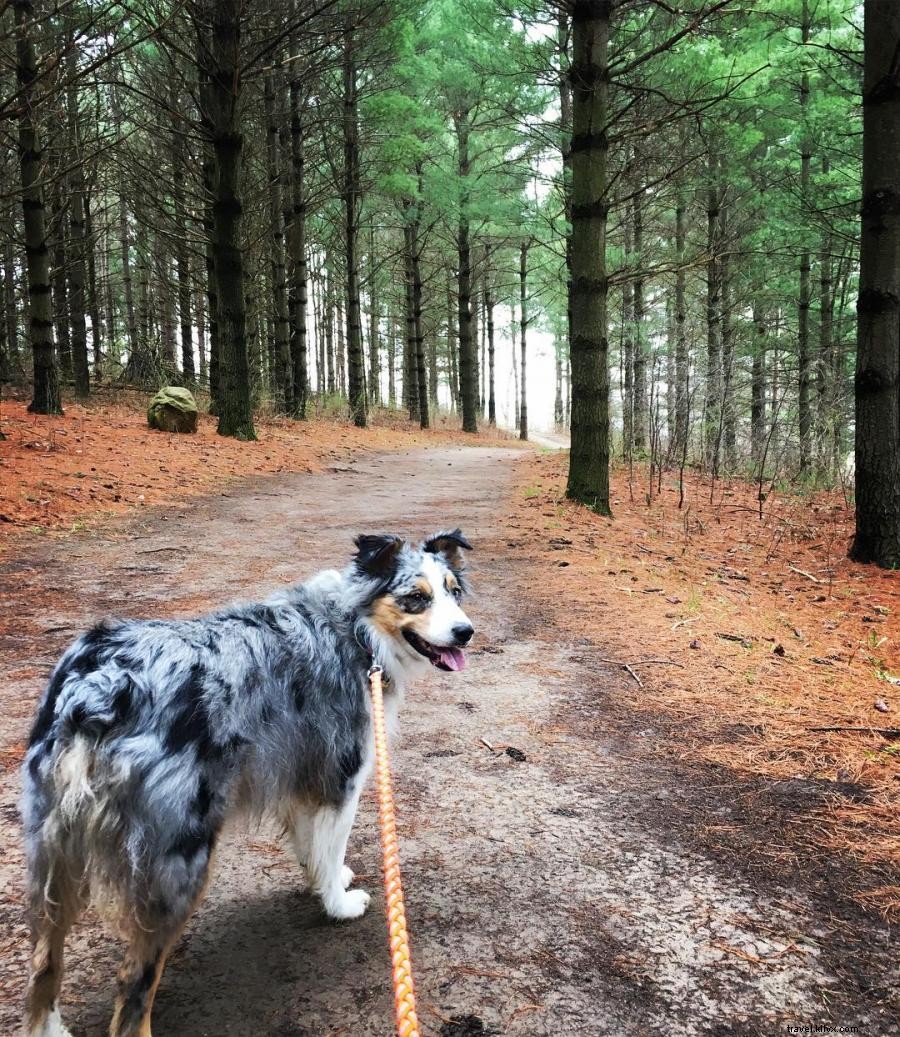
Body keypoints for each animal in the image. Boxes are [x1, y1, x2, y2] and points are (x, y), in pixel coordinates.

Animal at [21, 530, 474, 1037]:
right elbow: (332, 843)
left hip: (53, 854)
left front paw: (324, 879)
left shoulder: (300, 775)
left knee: (44, 965)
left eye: (454, 592)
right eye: (417, 597)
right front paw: (338, 904)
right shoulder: (342, 775)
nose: (466, 632)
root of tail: (100, 685)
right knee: (132, 993)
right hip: (178, 860)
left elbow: (311, 847)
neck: (356, 631)